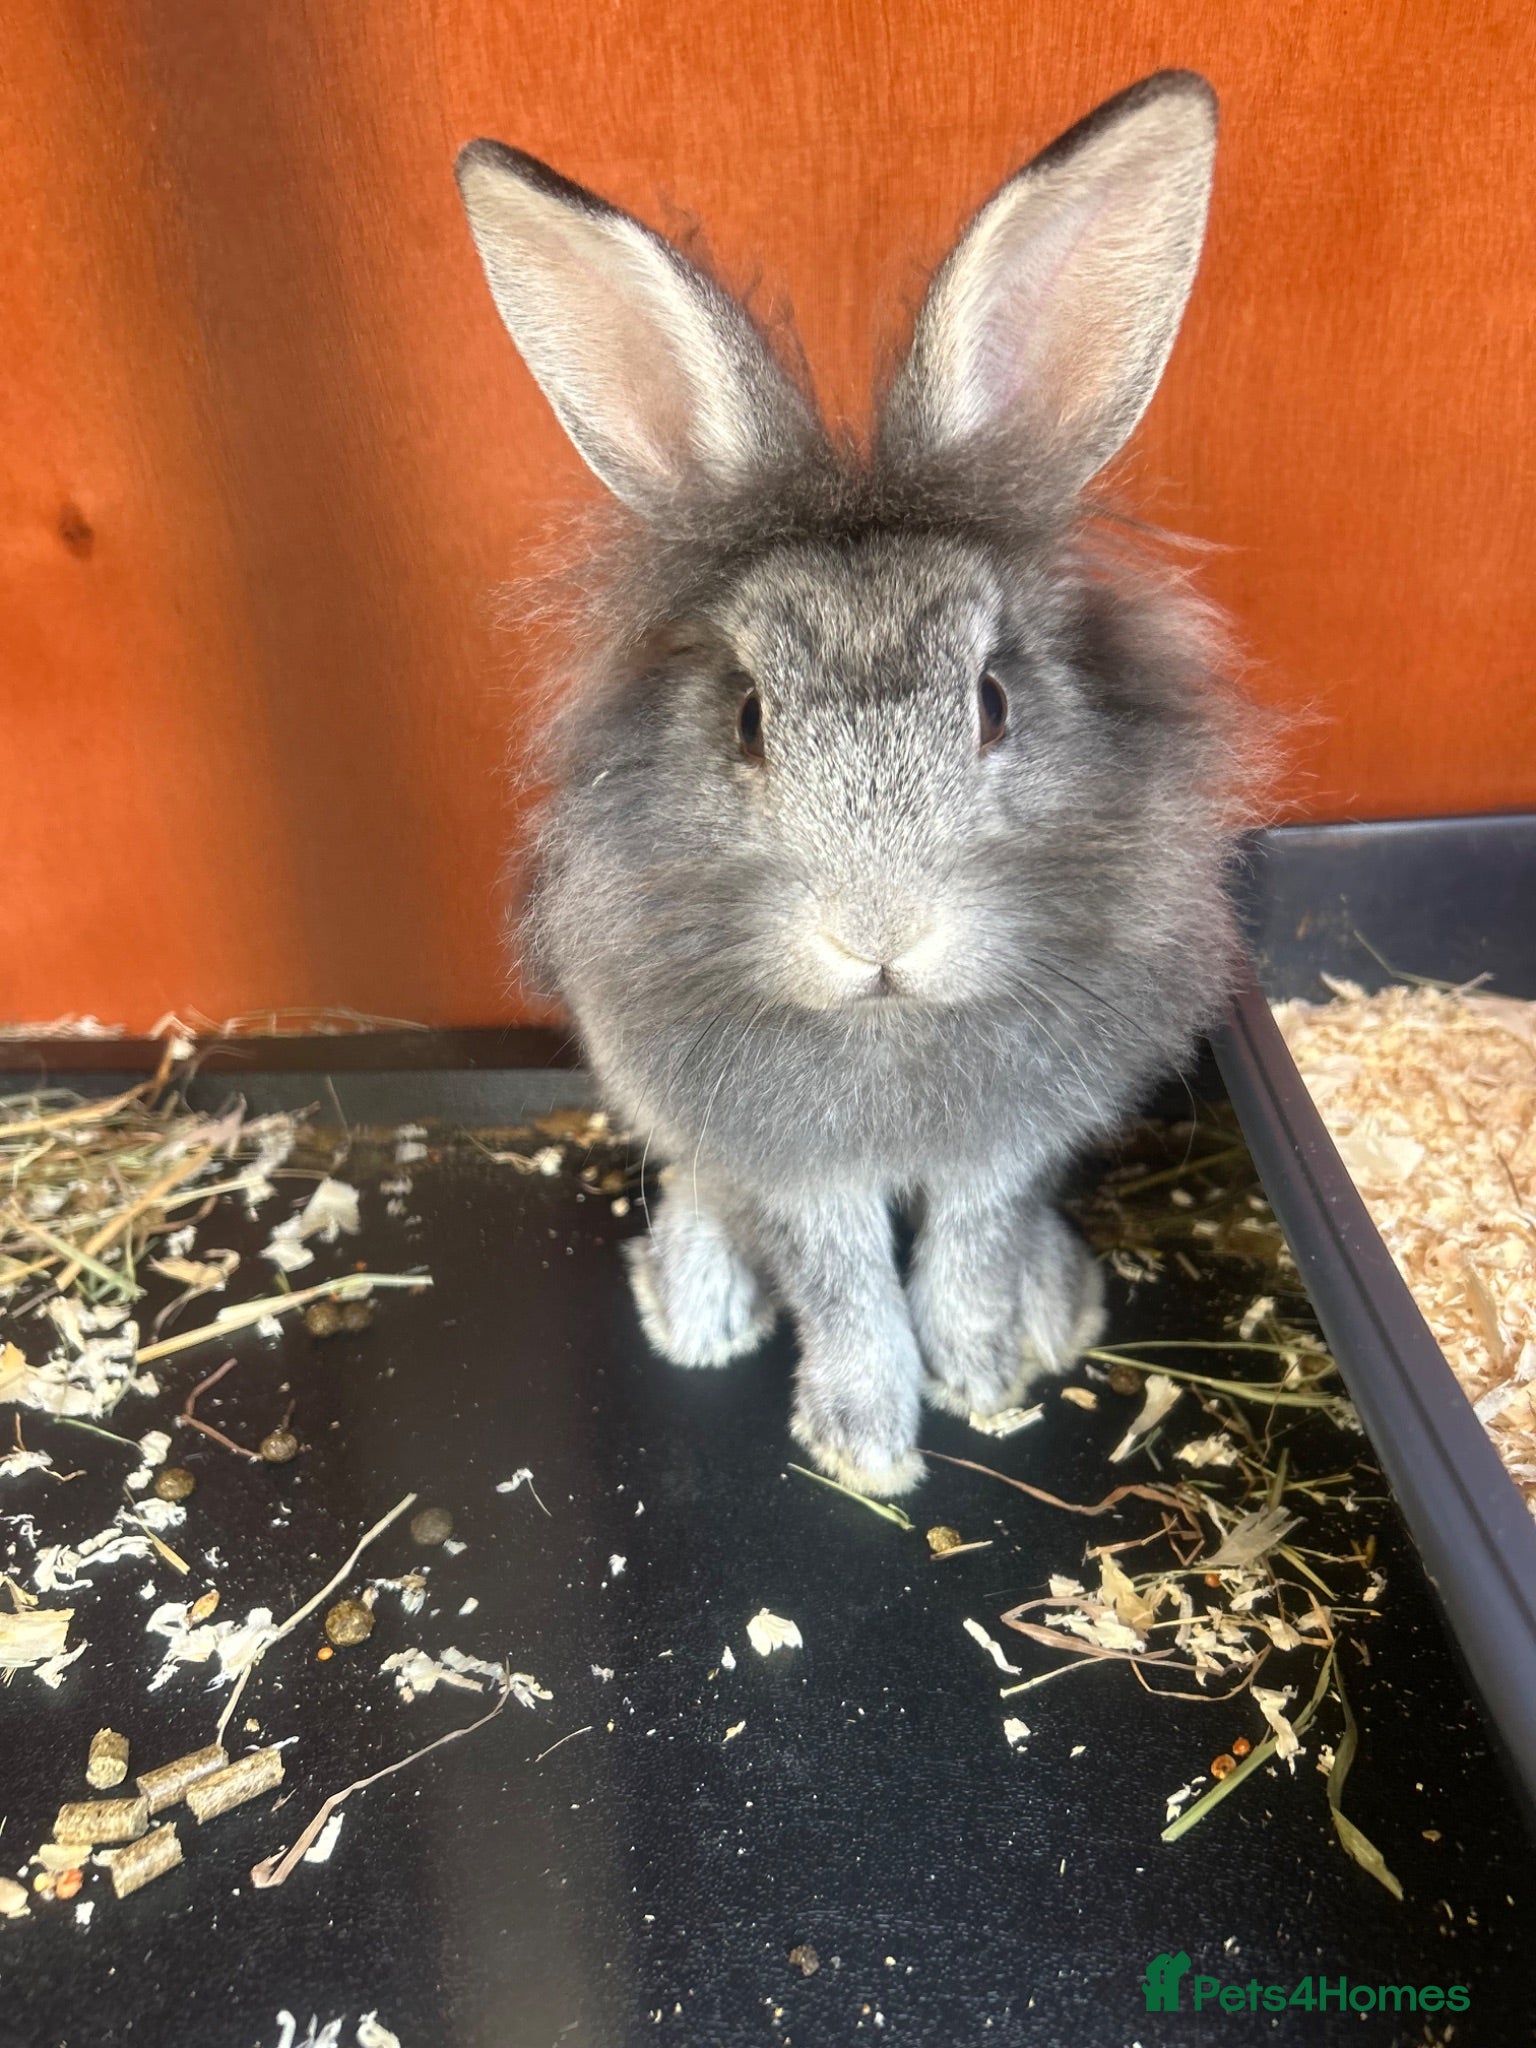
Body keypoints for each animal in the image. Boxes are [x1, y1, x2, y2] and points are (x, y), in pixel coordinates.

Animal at [454, 71, 1252, 1496]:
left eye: (993, 702)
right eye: (748, 717)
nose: (878, 937)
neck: (887, 1026)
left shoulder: (1003, 1148)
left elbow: (965, 1251)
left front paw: (985, 1378)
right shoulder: (790, 1163)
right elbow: (843, 1284)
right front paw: (868, 1448)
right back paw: (699, 1310)